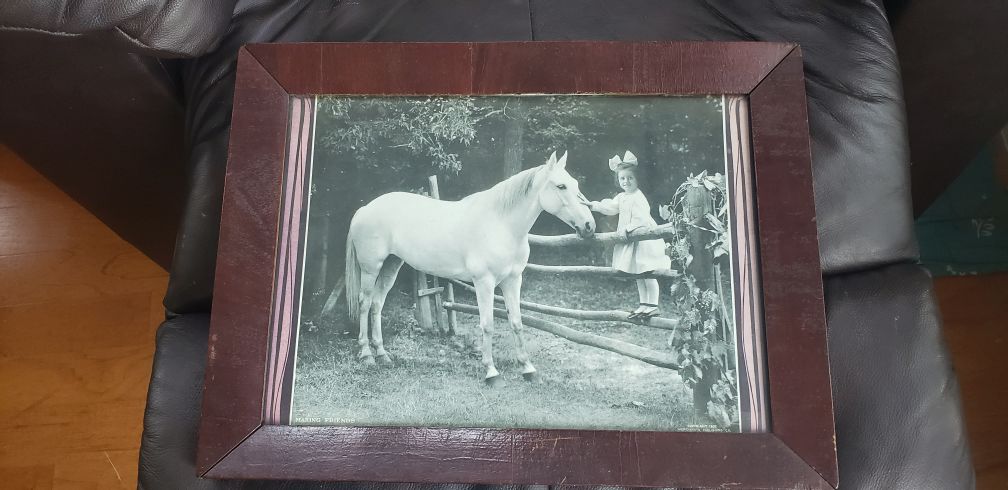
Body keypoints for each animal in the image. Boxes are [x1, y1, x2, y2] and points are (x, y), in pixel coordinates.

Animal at [344, 151, 595, 385]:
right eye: (561, 186)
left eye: (575, 184)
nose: (589, 226)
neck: (501, 225)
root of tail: (364, 209)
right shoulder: (484, 282)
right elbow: (488, 325)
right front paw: (491, 372)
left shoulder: (513, 280)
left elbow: (516, 322)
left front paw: (528, 369)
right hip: (371, 268)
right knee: (365, 303)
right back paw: (366, 355)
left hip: (391, 265)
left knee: (378, 304)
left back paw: (382, 354)